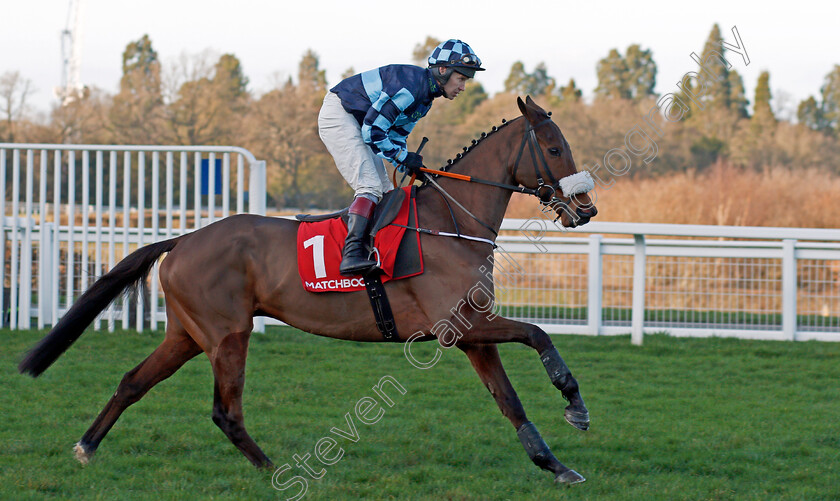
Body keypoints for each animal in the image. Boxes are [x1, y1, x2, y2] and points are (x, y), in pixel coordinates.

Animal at [19, 95, 596, 482]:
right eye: (553, 148)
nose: (586, 209)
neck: (449, 223)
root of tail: (183, 238)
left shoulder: (471, 330)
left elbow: (509, 401)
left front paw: (554, 464)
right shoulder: (460, 326)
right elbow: (539, 333)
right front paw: (574, 402)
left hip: (186, 333)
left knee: (132, 382)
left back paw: (87, 446)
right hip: (227, 334)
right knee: (225, 410)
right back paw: (273, 468)